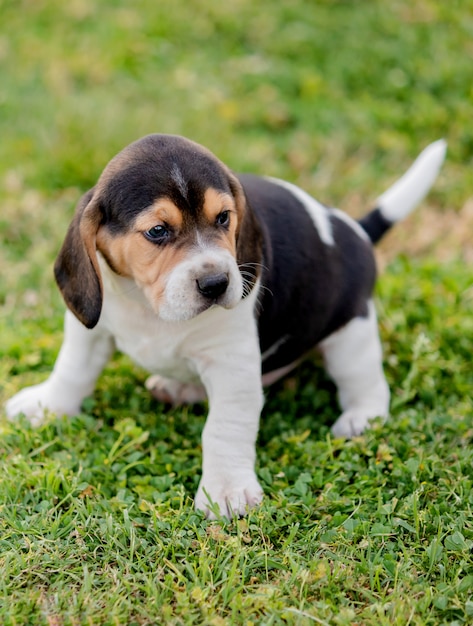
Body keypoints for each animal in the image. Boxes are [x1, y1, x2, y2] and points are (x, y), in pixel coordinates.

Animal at [5, 135, 444, 516]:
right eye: (157, 231)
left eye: (223, 218)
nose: (217, 283)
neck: (150, 307)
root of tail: (354, 230)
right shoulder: (92, 329)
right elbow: (73, 371)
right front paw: (46, 405)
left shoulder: (232, 367)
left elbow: (223, 428)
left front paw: (227, 491)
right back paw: (178, 389)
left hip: (349, 333)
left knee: (364, 379)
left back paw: (360, 418)